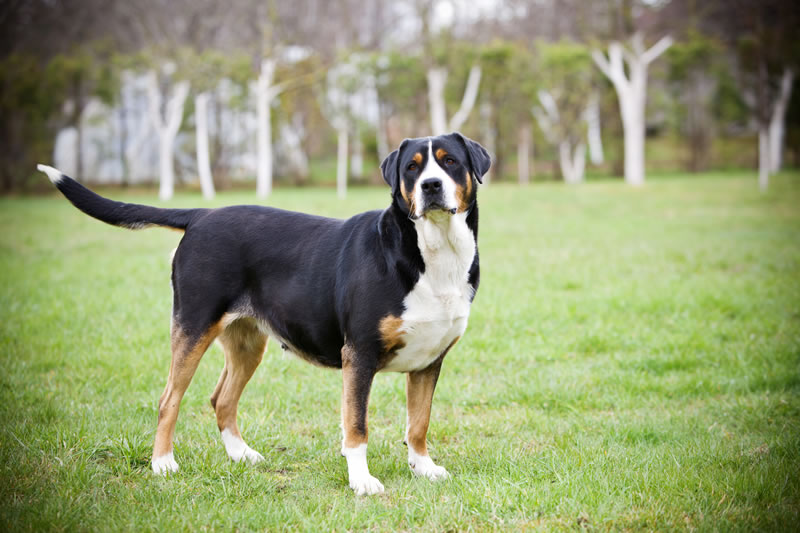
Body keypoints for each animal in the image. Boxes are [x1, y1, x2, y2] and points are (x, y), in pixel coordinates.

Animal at [40, 130, 490, 494]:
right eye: (412, 168)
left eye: (450, 161)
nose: (431, 185)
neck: (433, 254)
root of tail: (202, 214)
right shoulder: (359, 355)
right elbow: (356, 427)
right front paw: (362, 481)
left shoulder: (429, 361)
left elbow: (419, 423)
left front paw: (424, 468)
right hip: (194, 326)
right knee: (170, 398)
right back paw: (163, 463)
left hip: (246, 343)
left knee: (221, 399)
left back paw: (242, 456)